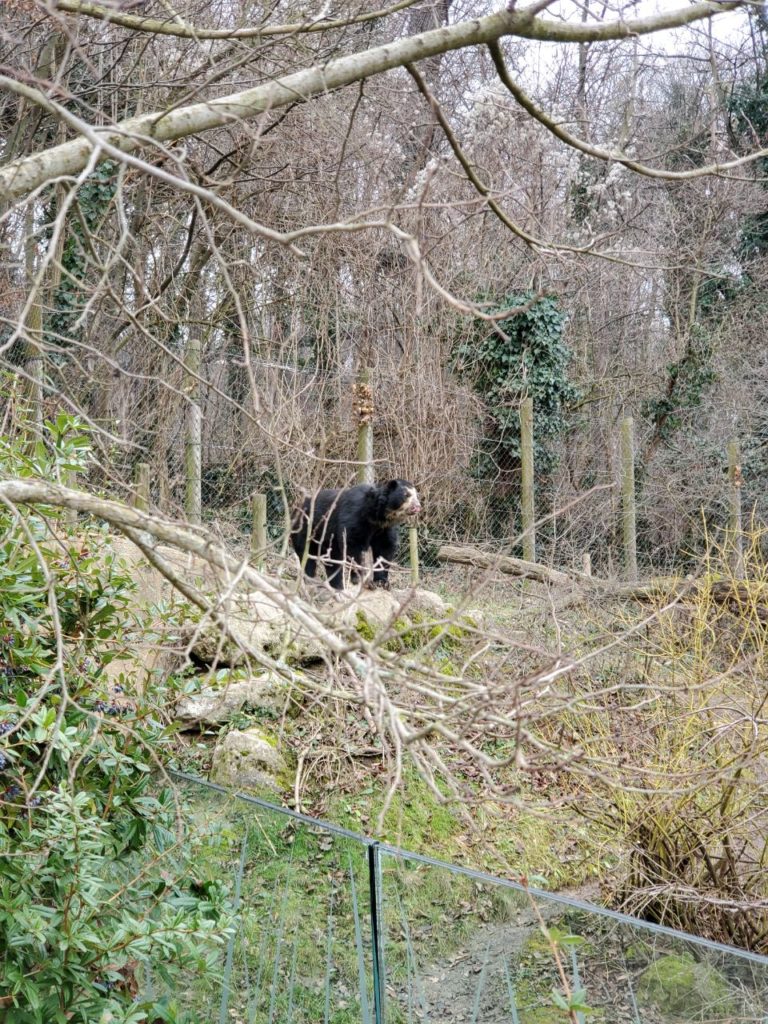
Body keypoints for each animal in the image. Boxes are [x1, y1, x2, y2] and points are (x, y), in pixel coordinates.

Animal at [290, 479, 421, 593]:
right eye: (406, 494)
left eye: (416, 495)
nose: (417, 506)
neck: (377, 516)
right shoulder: (354, 516)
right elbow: (353, 544)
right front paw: (363, 581)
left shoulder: (384, 528)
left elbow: (385, 548)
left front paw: (382, 582)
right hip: (306, 529)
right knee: (307, 555)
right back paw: (312, 580)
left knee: (332, 562)